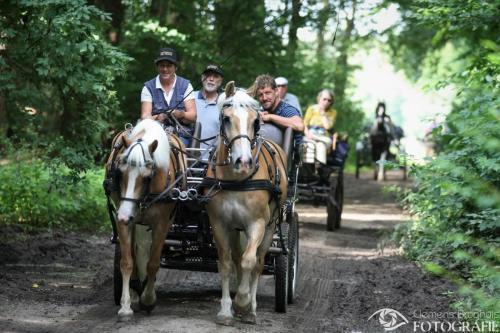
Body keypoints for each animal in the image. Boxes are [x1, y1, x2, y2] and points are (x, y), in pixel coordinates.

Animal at [105, 118, 186, 320]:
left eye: (147, 177)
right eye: (119, 173)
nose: (125, 215)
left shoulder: (162, 223)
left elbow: (153, 263)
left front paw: (148, 300)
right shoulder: (122, 216)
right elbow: (126, 261)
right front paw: (126, 306)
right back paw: (135, 286)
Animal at [204, 82, 290, 324]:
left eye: (256, 121)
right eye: (226, 119)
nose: (243, 161)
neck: (237, 180)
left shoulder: (257, 224)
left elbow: (249, 262)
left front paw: (243, 303)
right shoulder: (220, 224)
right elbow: (226, 263)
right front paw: (226, 310)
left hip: (271, 226)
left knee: (258, 262)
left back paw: (251, 307)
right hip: (236, 229)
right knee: (236, 258)